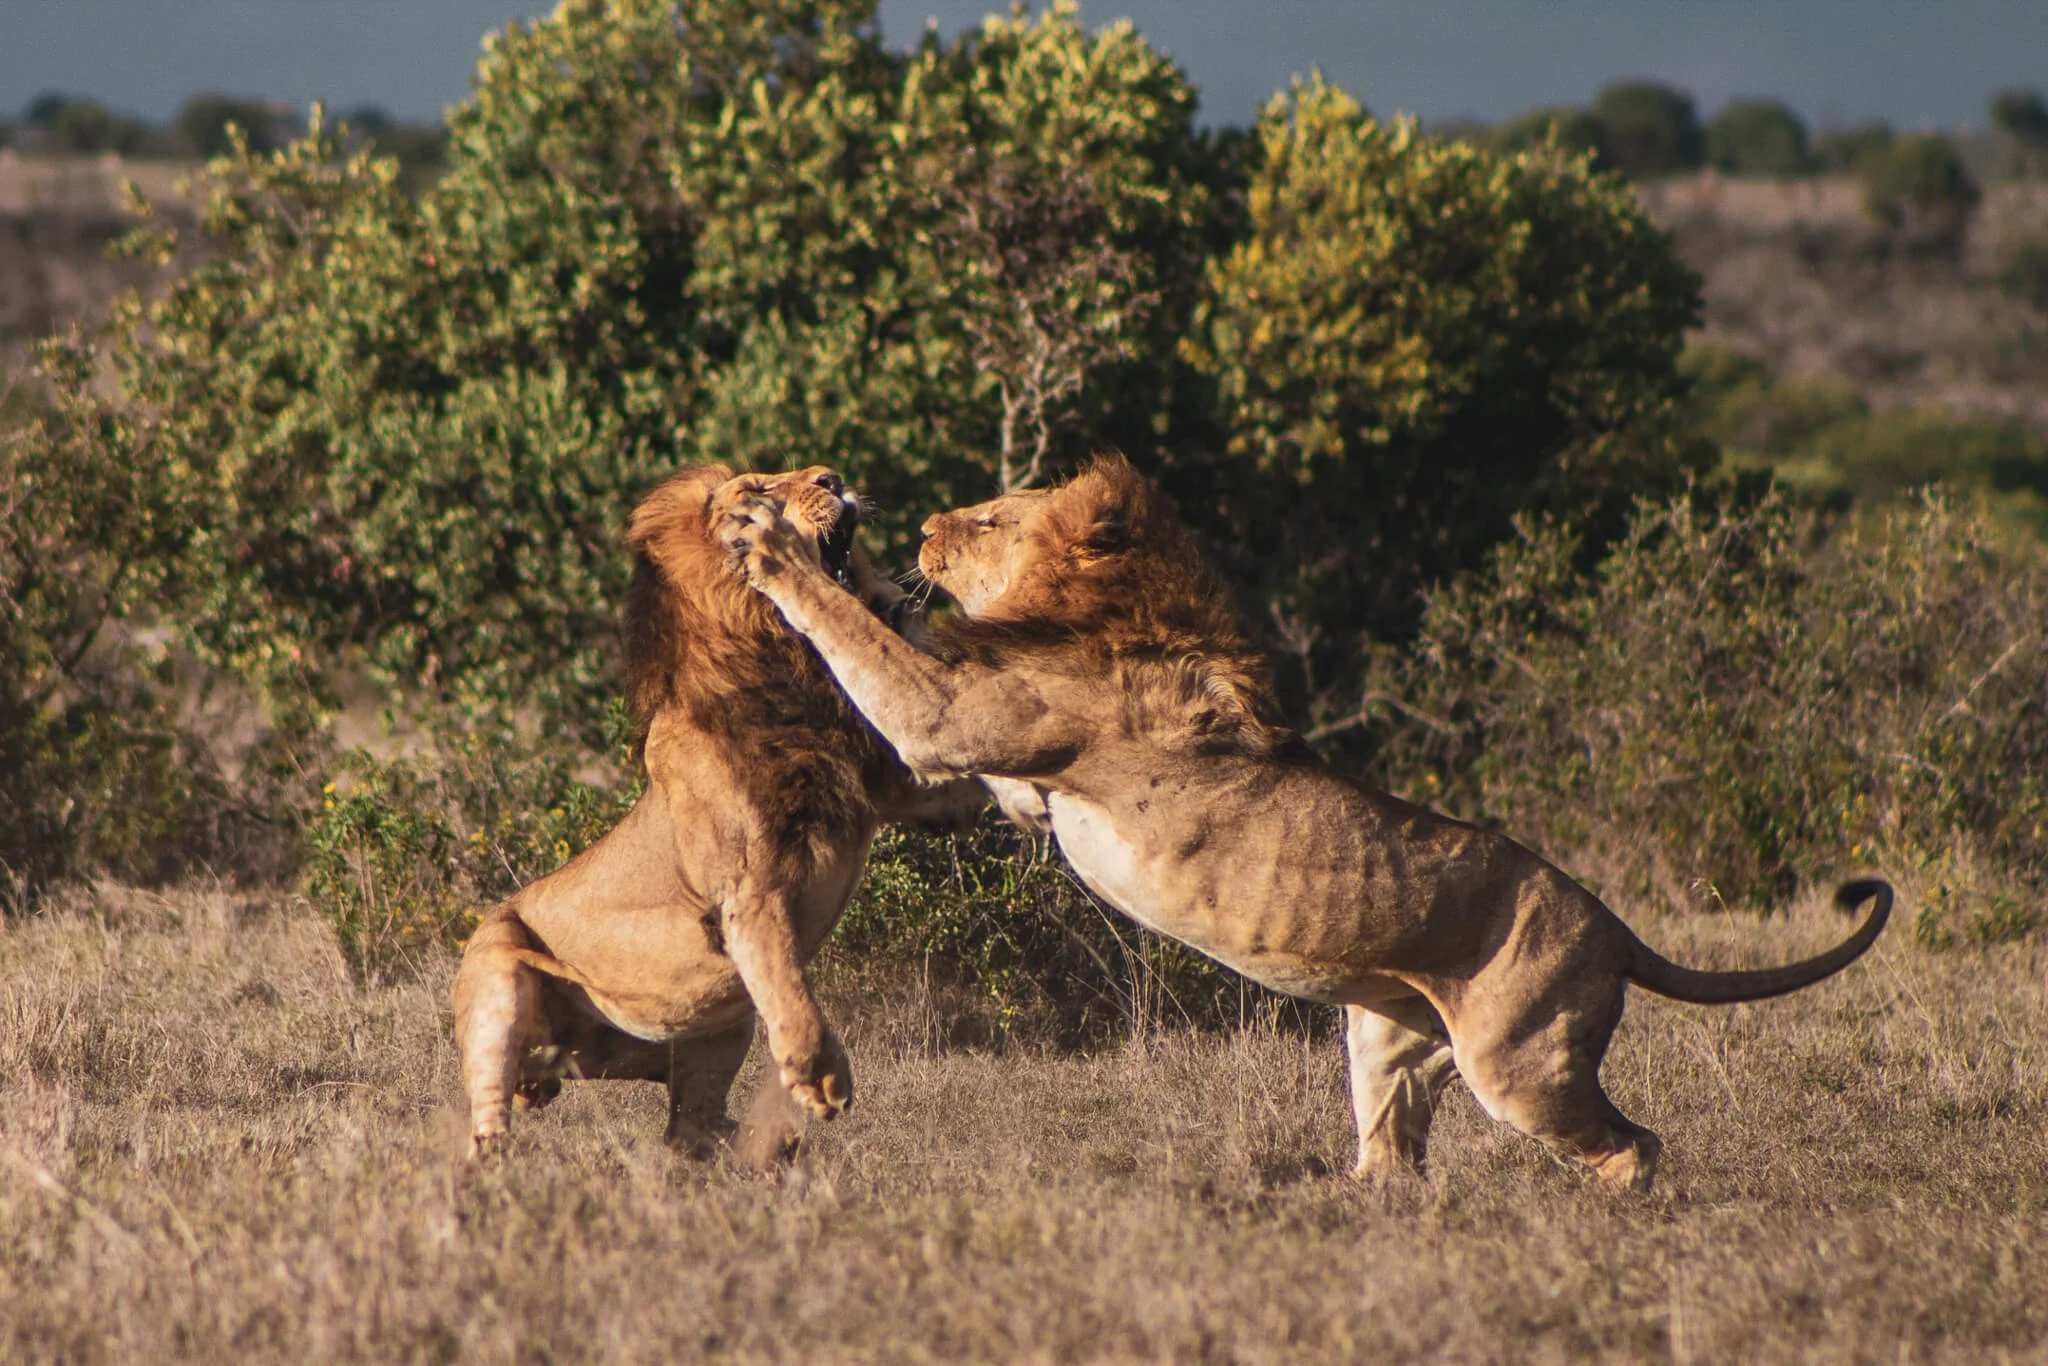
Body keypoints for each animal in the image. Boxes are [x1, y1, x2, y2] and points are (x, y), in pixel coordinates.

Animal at [451, 464, 982, 1161]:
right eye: (757, 490)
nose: (833, 477)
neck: (795, 661)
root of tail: (564, 1062)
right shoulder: (750, 887)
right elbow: (789, 985)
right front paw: (821, 1076)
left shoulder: (927, 786)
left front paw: (896, 603)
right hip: (499, 969)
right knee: (490, 1115)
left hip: (716, 1032)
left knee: (691, 1129)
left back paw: (768, 1151)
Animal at [717, 453, 1892, 1193]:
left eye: (995, 519)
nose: (920, 525)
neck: (1100, 618)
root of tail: (1613, 925)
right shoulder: (994, 772)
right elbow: (903, 663)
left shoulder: (952, 719)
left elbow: (860, 637)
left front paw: (774, 543)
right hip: (1389, 1040)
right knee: (1394, 1157)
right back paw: (1335, 1208)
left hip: (1524, 1063)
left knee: (1633, 1145)